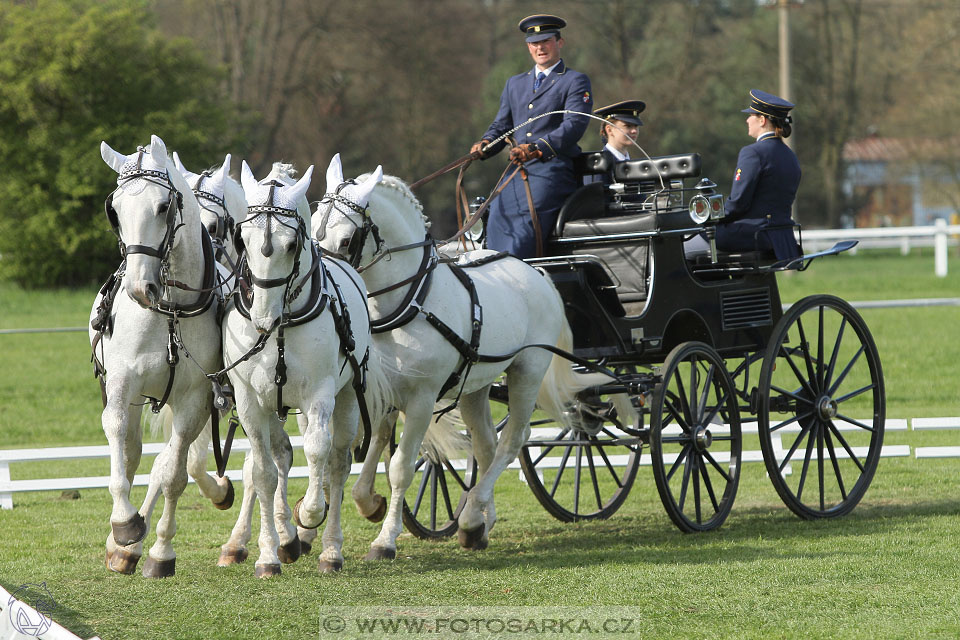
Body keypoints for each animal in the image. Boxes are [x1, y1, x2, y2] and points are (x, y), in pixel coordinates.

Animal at [91, 134, 232, 576]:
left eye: (163, 206)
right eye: (115, 210)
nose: (140, 287)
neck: (170, 310)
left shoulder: (195, 401)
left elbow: (172, 475)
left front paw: (161, 552)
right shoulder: (122, 385)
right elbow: (119, 441)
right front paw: (123, 525)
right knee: (133, 452)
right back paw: (123, 542)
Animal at [223, 159, 388, 576]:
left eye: (291, 244)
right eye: (242, 239)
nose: (263, 318)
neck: (281, 324)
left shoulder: (321, 393)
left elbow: (318, 451)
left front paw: (309, 513)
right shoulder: (249, 402)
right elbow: (262, 473)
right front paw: (268, 555)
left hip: (347, 398)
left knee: (338, 461)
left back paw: (330, 549)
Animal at [316, 154, 600, 556]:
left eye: (346, 239)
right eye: (312, 228)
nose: (325, 284)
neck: (410, 301)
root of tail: (537, 272)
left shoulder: (421, 399)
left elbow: (401, 466)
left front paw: (385, 540)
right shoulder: (381, 390)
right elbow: (375, 443)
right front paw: (368, 502)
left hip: (527, 372)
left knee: (514, 439)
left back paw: (469, 516)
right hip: (476, 386)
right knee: (486, 445)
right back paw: (481, 520)